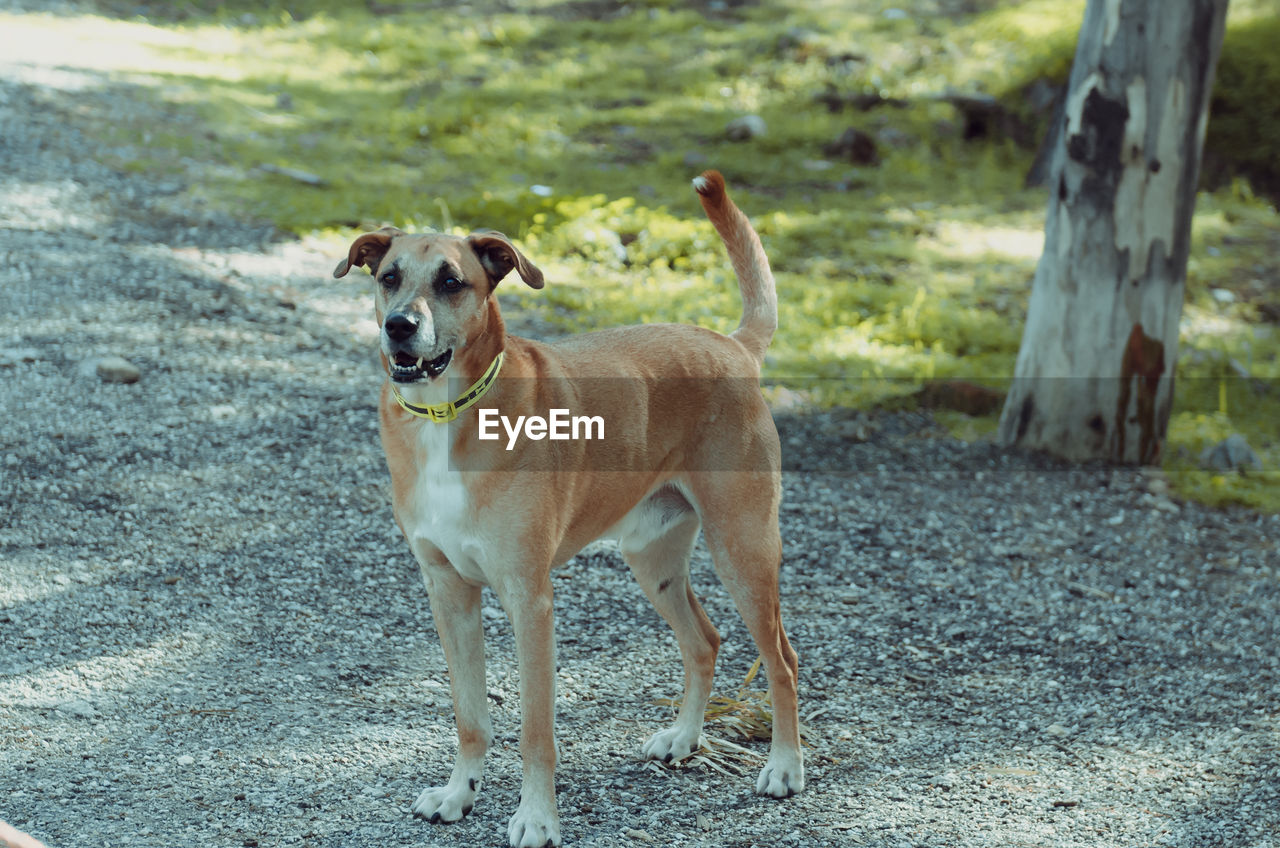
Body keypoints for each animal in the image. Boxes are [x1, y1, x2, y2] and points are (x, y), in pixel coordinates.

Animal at [335, 172, 803, 848]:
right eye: (389, 277)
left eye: (451, 282)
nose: (399, 326)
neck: (450, 416)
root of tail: (733, 347)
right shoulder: (449, 593)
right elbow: (470, 716)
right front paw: (459, 795)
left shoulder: (530, 600)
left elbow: (536, 731)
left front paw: (536, 817)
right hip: (654, 559)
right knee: (704, 641)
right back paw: (685, 738)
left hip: (744, 550)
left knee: (782, 661)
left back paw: (786, 767)